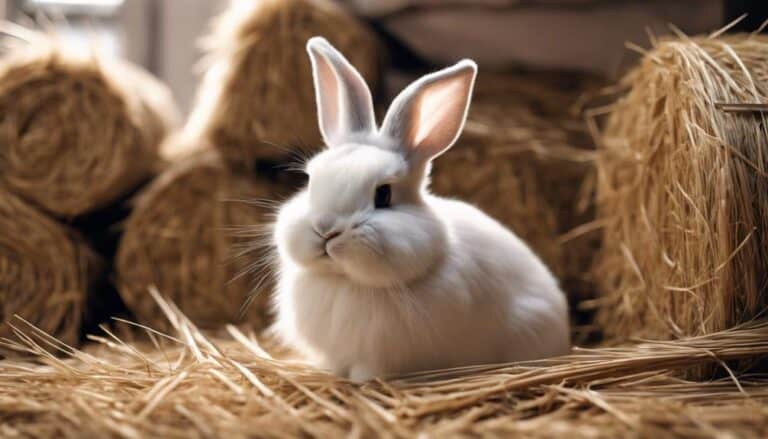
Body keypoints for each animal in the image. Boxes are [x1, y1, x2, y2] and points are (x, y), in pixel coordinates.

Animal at [270, 36, 570, 381]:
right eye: (310, 180)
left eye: (383, 195)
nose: (325, 230)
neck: (345, 281)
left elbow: (367, 370)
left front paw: (360, 381)